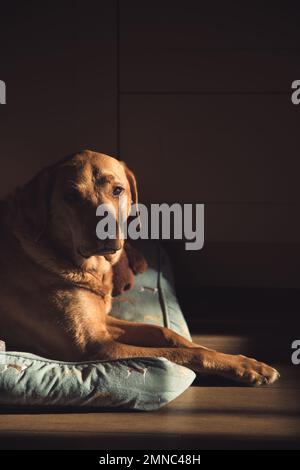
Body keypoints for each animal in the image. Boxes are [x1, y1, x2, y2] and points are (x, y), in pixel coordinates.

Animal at [0, 151, 278, 386]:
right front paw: (242, 366)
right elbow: (180, 354)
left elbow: (169, 334)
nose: (106, 230)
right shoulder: (98, 346)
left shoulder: (104, 321)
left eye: (118, 190)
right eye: (71, 196)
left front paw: (242, 361)